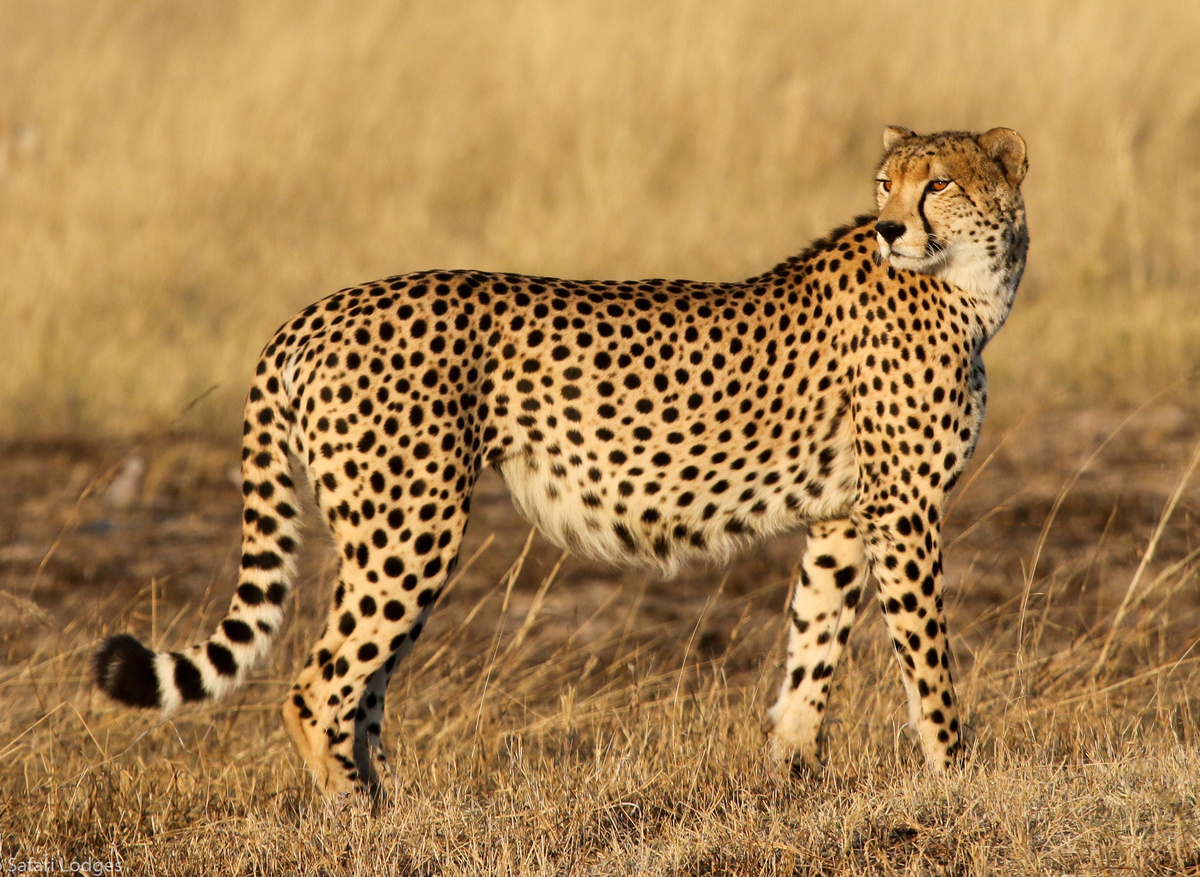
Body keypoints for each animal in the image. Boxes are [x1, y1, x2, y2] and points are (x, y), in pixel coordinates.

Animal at [94, 126, 1028, 797]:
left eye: (937, 182)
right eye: (886, 183)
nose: (890, 227)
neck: (968, 286)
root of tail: (316, 310)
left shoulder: (842, 518)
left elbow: (814, 643)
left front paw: (793, 776)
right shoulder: (904, 513)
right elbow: (927, 659)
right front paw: (959, 777)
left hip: (394, 534)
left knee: (364, 690)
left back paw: (399, 811)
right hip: (410, 527)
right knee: (319, 687)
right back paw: (358, 820)